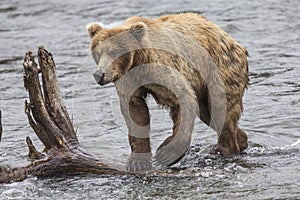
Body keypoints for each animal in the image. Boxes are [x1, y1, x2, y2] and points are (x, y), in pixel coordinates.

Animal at [86, 12, 248, 172]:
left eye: (114, 51)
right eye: (98, 52)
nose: (99, 74)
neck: (140, 62)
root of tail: (229, 37)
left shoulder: (163, 69)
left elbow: (183, 98)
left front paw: (165, 154)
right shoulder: (129, 80)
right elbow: (135, 112)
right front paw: (137, 162)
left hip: (220, 70)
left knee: (221, 108)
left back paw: (224, 149)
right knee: (209, 114)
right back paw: (240, 140)